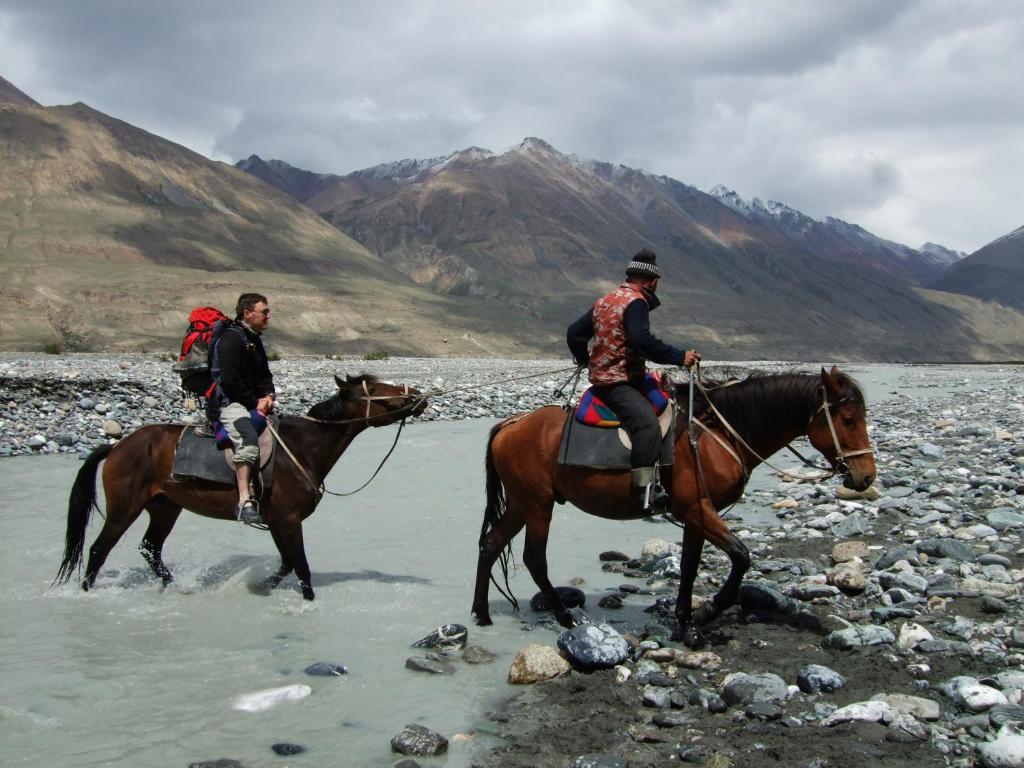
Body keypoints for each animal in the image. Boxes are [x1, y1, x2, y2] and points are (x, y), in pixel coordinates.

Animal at [55, 376, 423, 606]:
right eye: (375, 388)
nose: (417, 396)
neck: (302, 448)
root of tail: (117, 446)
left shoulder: (276, 521)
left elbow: (287, 564)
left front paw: (259, 588)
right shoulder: (289, 520)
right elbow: (301, 567)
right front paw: (308, 603)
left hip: (165, 507)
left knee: (150, 549)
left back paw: (175, 587)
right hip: (125, 508)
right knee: (99, 550)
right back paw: (87, 593)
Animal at [468, 366, 872, 651]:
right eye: (848, 419)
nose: (866, 476)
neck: (715, 435)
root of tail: (511, 424)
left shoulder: (697, 516)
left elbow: (691, 567)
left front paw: (685, 623)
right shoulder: (696, 509)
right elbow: (741, 556)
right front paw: (708, 610)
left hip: (522, 503)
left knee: (490, 544)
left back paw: (481, 614)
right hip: (538, 505)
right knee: (534, 559)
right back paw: (567, 618)